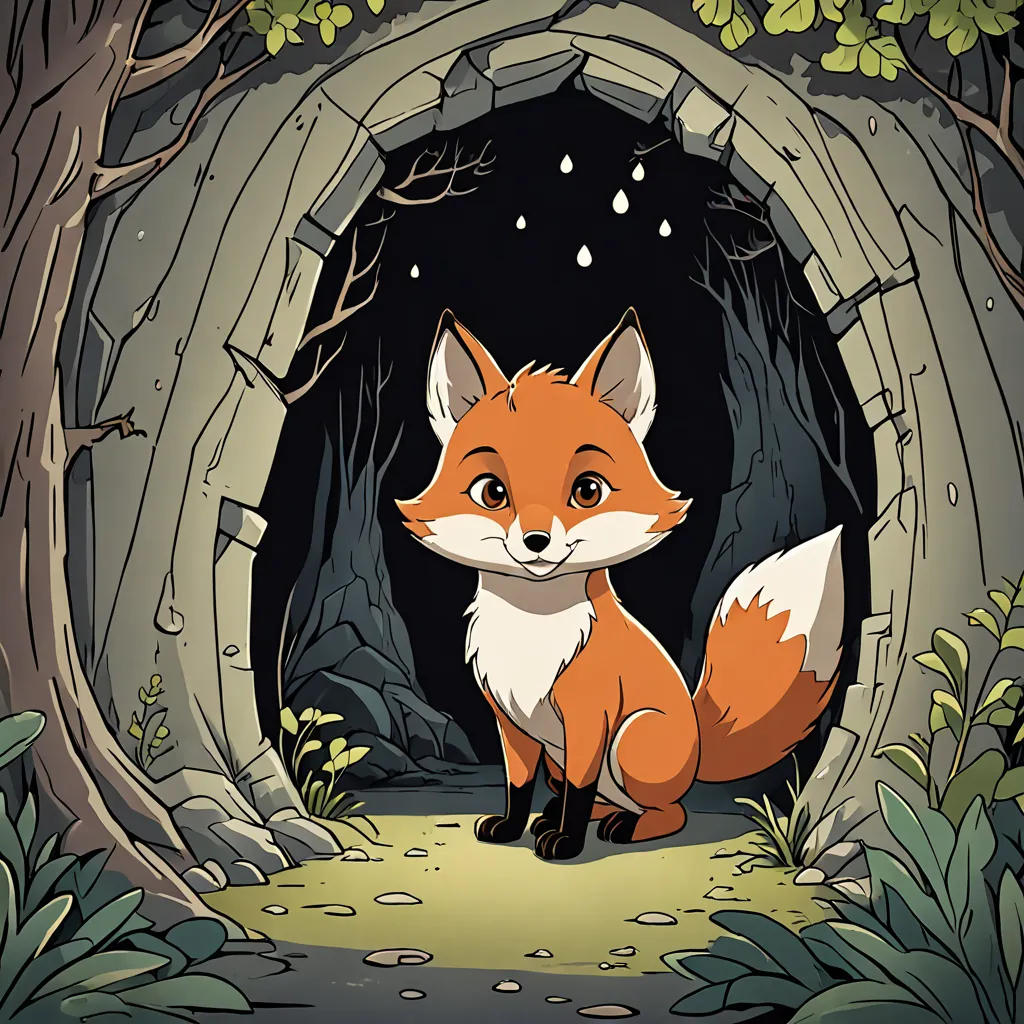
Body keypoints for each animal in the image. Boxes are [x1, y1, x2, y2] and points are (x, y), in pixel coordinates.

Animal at [397, 306, 845, 861]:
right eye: (492, 492)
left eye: (587, 490)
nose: (537, 541)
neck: (531, 632)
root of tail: (699, 747)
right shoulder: (511, 723)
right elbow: (519, 786)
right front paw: (512, 826)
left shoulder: (591, 717)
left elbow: (581, 791)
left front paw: (566, 843)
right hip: (563, 755)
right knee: (591, 797)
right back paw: (559, 817)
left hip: (632, 740)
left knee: (666, 812)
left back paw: (617, 827)